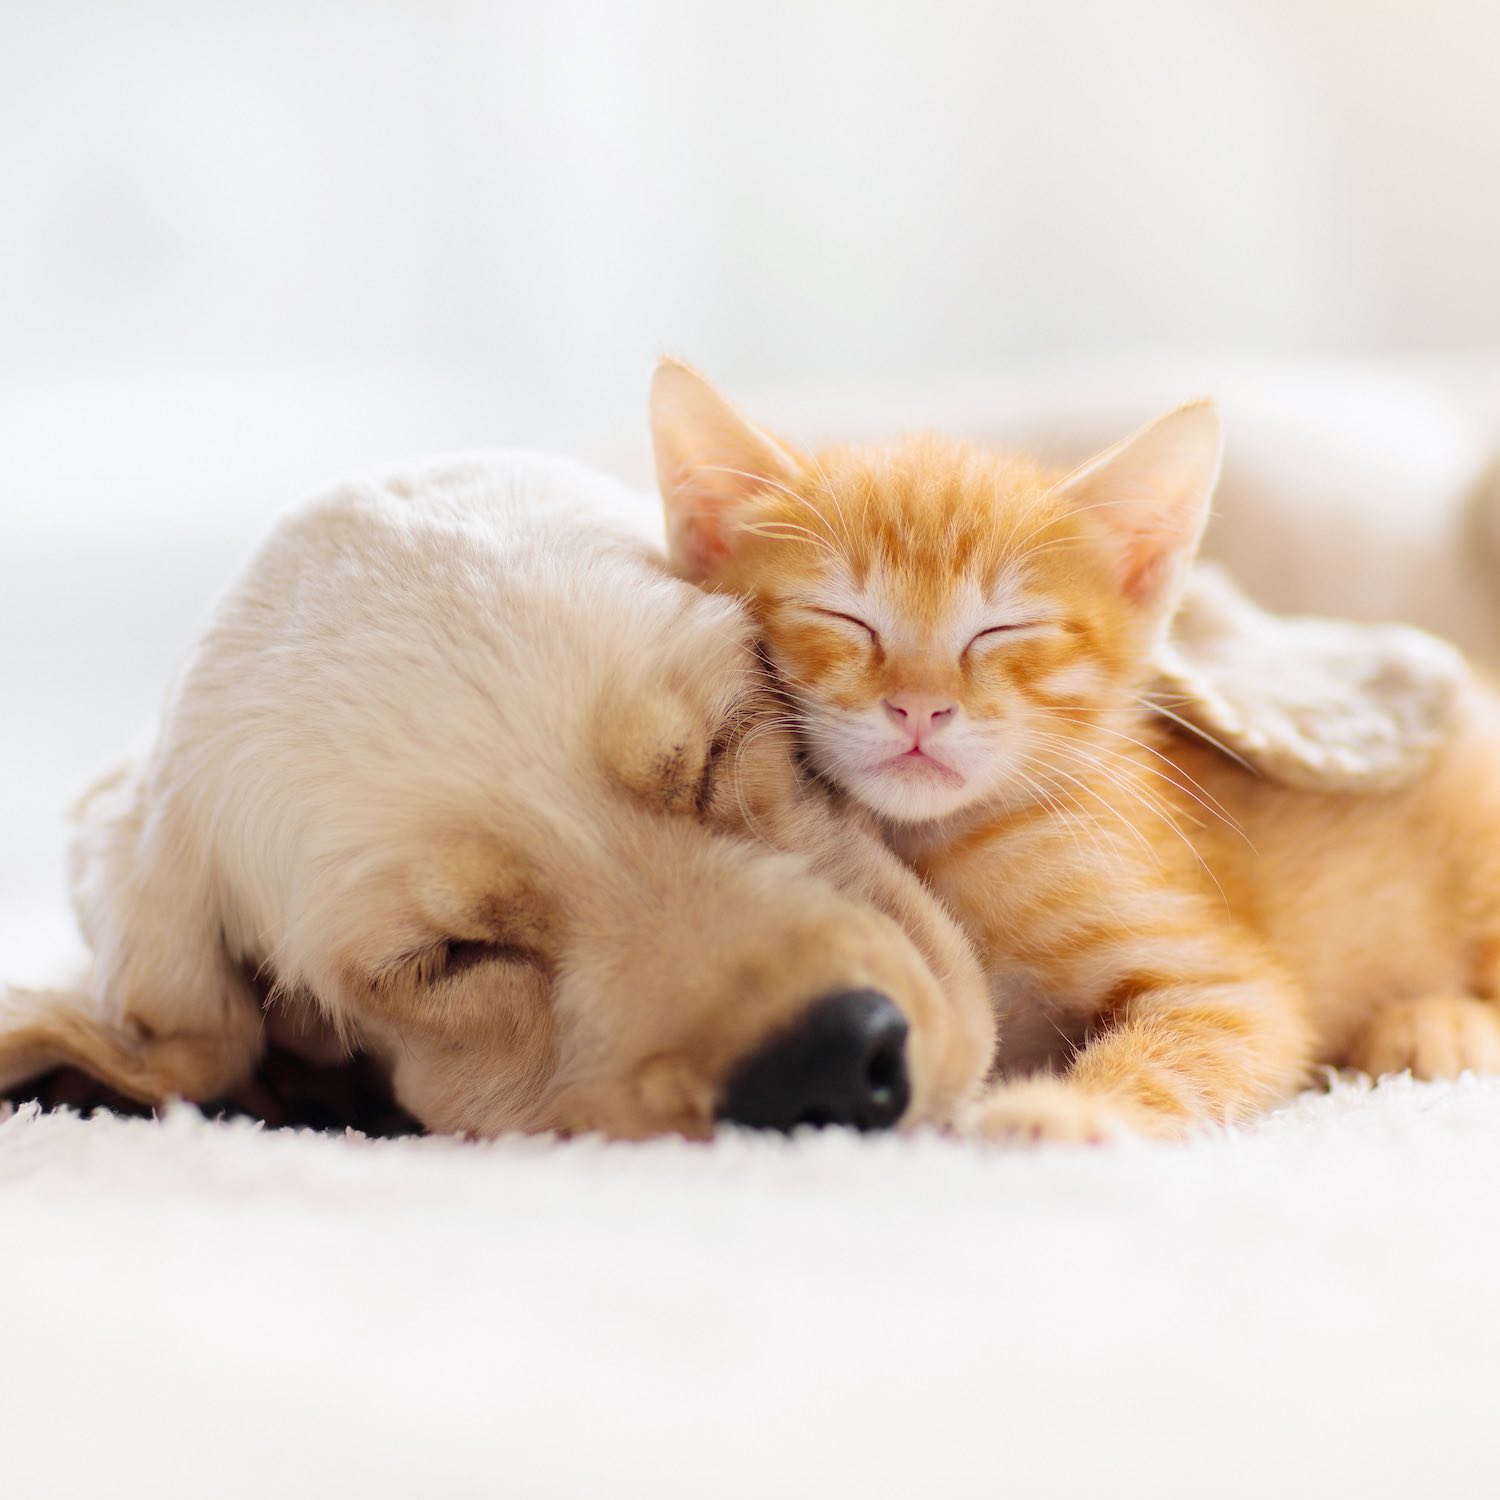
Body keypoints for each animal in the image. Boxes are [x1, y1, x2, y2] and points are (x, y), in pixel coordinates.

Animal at [654, 357, 1500, 1140]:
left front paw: (1064, 1111)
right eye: (842, 617)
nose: (920, 706)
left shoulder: (1227, 986)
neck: (937, 847)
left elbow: (1188, 1047)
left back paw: (1437, 1025)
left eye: (1002, 629)